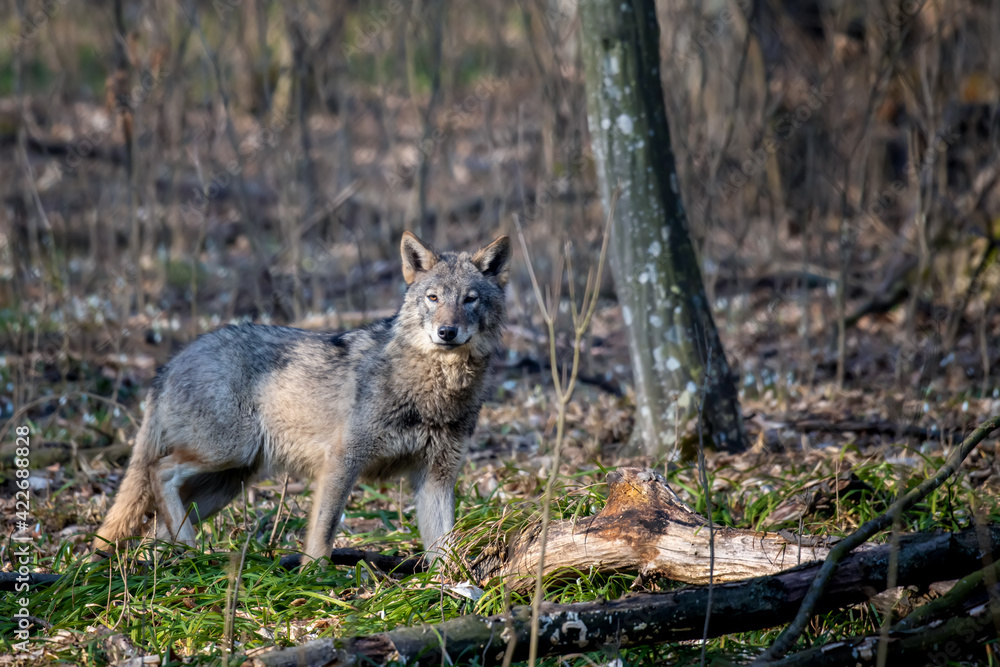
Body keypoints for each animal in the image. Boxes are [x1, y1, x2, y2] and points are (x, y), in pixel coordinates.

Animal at [92, 231, 510, 563]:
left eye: (470, 299)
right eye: (433, 297)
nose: (447, 332)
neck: (435, 388)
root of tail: (171, 361)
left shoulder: (437, 479)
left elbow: (445, 548)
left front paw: (451, 590)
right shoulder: (341, 462)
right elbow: (323, 533)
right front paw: (316, 578)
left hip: (228, 480)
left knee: (156, 526)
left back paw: (182, 561)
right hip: (228, 452)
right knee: (157, 471)